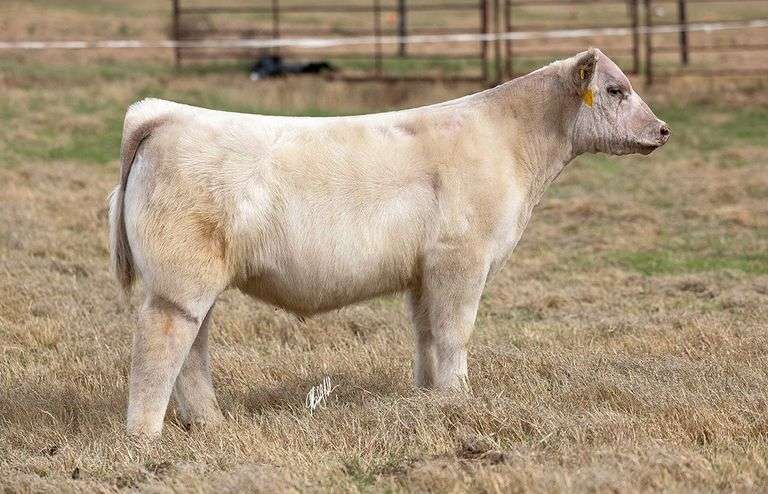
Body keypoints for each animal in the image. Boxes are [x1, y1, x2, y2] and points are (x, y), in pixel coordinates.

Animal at [108, 48, 670, 437]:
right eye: (615, 90)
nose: (663, 130)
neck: (510, 145)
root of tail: (165, 115)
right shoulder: (461, 260)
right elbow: (454, 333)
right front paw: (460, 400)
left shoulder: (424, 273)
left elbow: (426, 335)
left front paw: (430, 397)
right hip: (179, 283)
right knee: (161, 343)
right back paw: (146, 437)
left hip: (191, 283)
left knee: (192, 348)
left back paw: (209, 423)